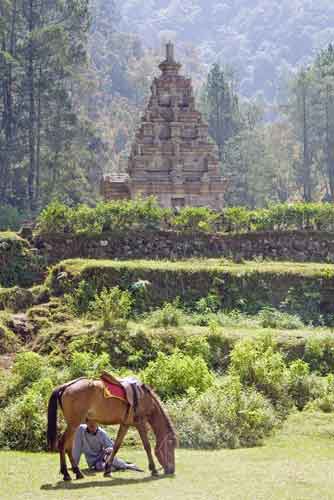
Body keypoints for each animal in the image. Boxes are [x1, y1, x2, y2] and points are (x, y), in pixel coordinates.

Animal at [46, 378, 177, 480]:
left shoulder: (125, 424)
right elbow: (147, 446)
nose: (171, 470)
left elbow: (116, 446)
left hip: (73, 425)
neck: (145, 399)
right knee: (62, 444)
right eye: (170, 447)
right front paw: (154, 469)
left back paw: (77, 472)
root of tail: (65, 386)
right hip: (74, 424)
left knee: (68, 447)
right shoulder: (140, 424)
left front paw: (108, 470)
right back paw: (67, 474)